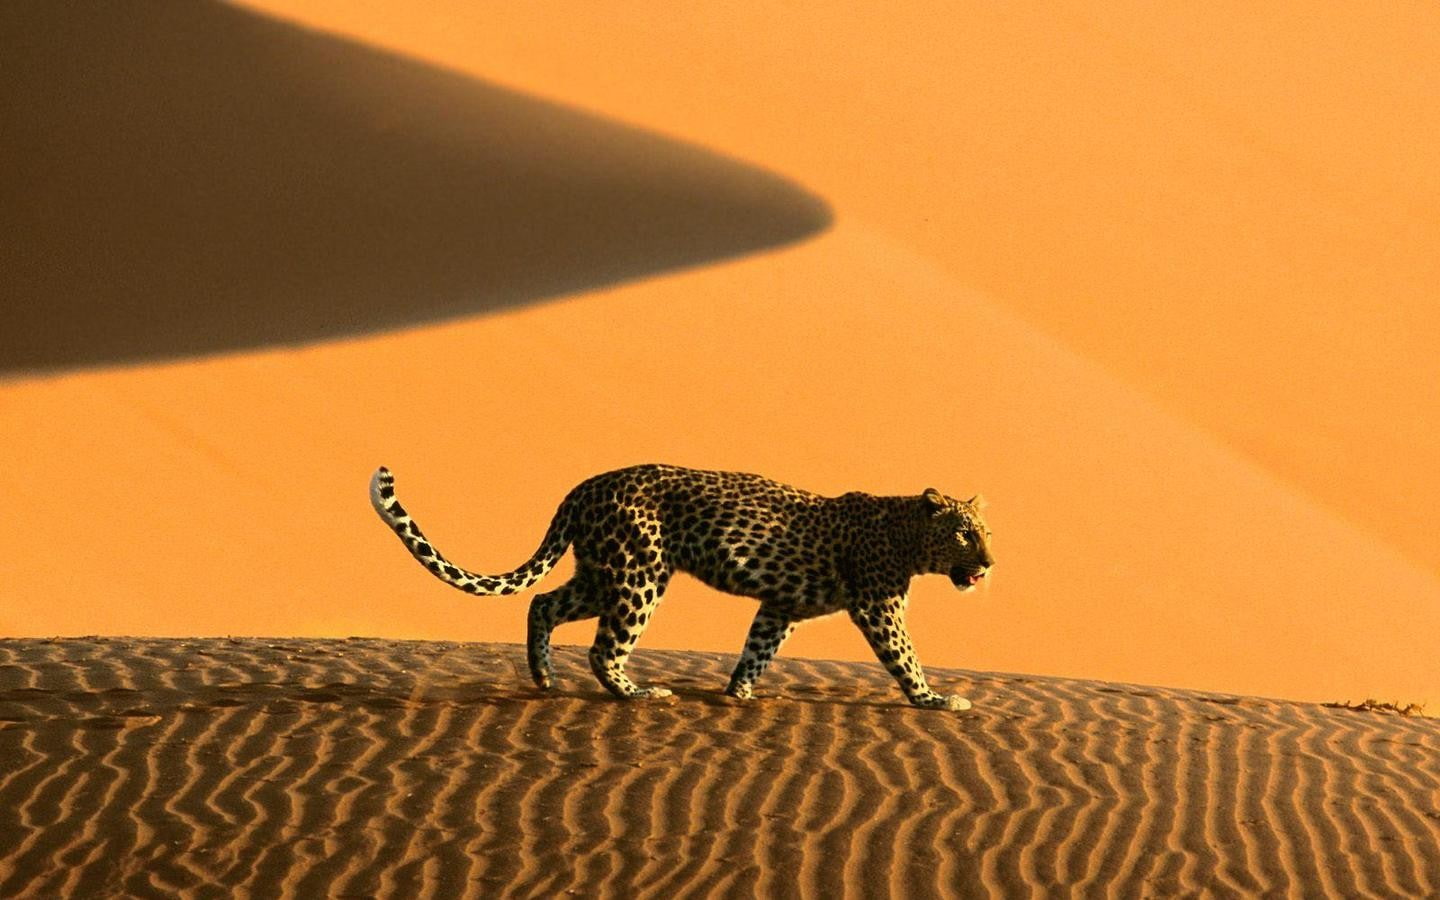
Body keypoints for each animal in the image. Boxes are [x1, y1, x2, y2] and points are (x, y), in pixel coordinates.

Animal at [369, 463, 994, 710]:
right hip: (639, 576)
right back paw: (639, 693)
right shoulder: (878, 607)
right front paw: (935, 700)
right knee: (603, 647)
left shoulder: (782, 604)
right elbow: (905, 657)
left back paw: (544, 679)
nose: (989, 564)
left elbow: (758, 648)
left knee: (543, 604)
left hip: (601, 573)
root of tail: (583, 486)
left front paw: (739, 693)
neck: (909, 537)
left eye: (986, 532)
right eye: (965, 534)